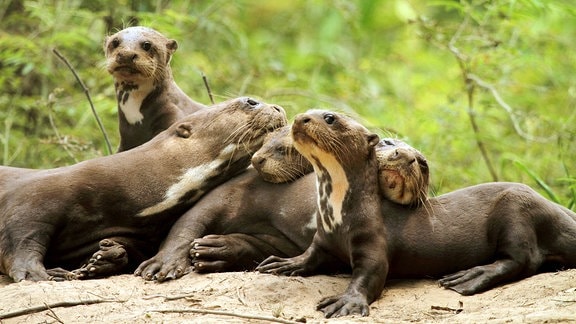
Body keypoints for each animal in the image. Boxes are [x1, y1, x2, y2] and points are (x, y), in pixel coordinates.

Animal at [0, 97, 286, 282]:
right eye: (249, 102)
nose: (277, 107)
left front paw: (103, 258)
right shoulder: (35, 197)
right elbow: (20, 236)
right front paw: (39, 273)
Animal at [258, 110, 576, 318]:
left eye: (329, 117)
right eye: (307, 112)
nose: (300, 118)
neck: (338, 212)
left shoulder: (372, 240)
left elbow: (371, 274)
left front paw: (346, 301)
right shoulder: (324, 238)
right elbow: (310, 256)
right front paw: (284, 263)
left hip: (516, 207)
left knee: (524, 258)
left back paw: (469, 277)